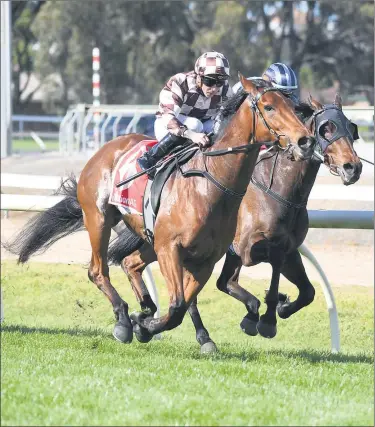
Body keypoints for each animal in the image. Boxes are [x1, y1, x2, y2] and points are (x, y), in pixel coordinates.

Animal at [3, 75, 314, 346]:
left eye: (294, 107)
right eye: (269, 106)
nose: (304, 140)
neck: (211, 184)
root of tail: (105, 149)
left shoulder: (206, 257)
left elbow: (184, 303)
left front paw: (148, 323)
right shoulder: (171, 247)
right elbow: (177, 305)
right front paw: (143, 326)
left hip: (147, 236)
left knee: (130, 263)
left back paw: (143, 309)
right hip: (99, 219)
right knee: (98, 270)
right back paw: (123, 320)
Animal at [107, 93, 362, 352]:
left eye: (352, 129)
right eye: (326, 128)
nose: (353, 167)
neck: (278, 191)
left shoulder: (289, 249)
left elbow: (307, 291)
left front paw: (279, 307)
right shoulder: (245, 249)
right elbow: (238, 279)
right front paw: (264, 318)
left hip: (160, 242)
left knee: (132, 263)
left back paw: (150, 316)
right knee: (187, 296)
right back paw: (195, 334)